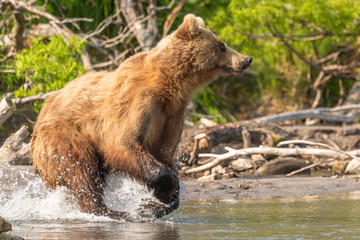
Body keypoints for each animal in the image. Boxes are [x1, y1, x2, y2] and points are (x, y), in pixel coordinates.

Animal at [31, 13, 252, 219]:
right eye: (221, 45)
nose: (246, 59)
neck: (170, 85)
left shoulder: (172, 115)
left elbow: (165, 153)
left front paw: (154, 205)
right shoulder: (138, 101)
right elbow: (123, 144)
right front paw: (165, 191)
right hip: (63, 137)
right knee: (81, 169)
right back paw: (108, 211)